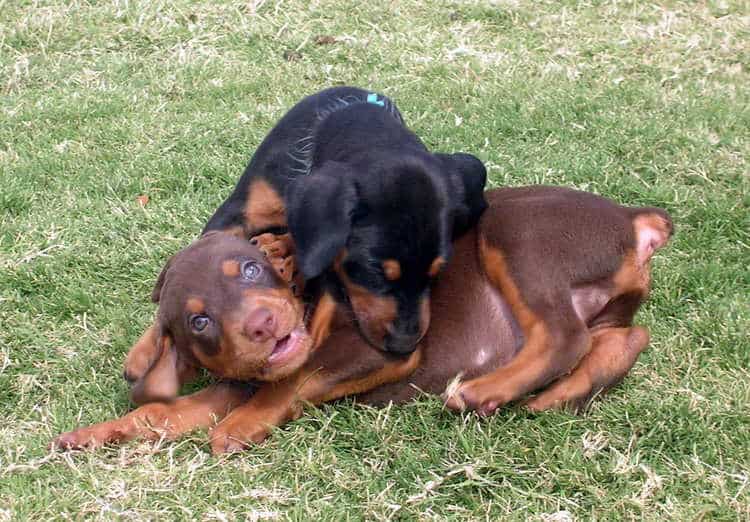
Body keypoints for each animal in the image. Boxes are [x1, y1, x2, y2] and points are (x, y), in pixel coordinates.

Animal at [54, 186, 676, 450]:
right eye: (198, 322)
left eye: (251, 270)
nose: (261, 327)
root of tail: (632, 218)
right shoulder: (234, 380)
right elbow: (159, 413)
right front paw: (96, 434)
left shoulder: (375, 349)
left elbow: (289, 385)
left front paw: (241, 427)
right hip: (604, 307)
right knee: (623, 338)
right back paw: (553, 396)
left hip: (514, 231)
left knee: (565, 336)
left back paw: (485, 391)